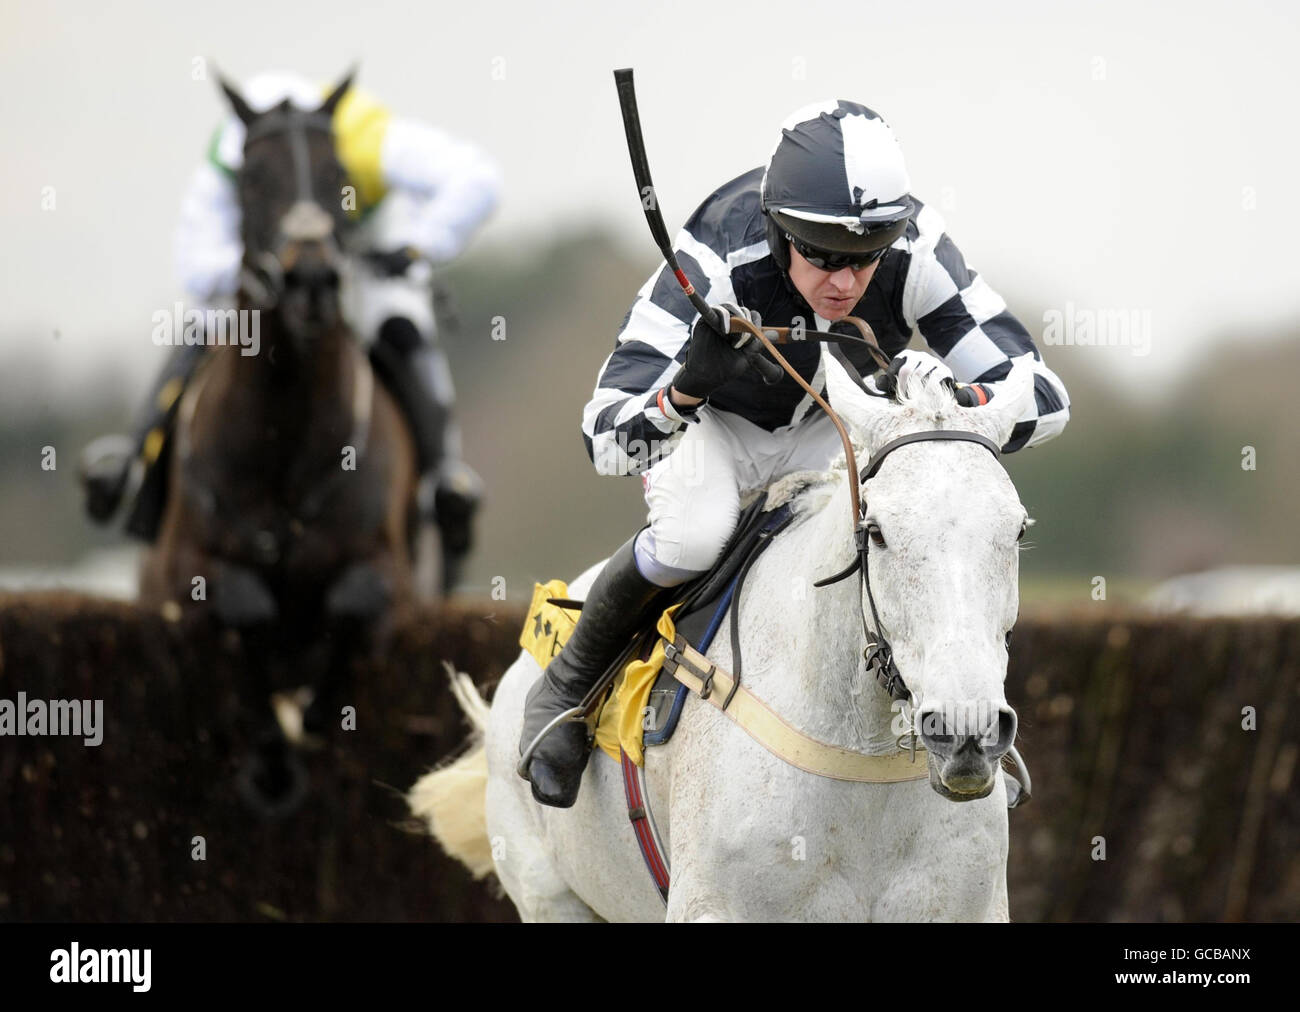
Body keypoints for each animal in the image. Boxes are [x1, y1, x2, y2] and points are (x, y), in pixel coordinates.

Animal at [141, 72, 416, 811]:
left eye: (339, 176)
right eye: (252, 179)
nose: (311, 280)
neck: (283, 439)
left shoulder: (393, 574)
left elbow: (353, 601)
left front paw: (317, 711)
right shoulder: (181, 574)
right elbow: (246, 608)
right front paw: (270, 752)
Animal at [410, 348, 1040, 920]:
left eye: (1016, 531)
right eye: (878, 531)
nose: (967, 730)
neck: (861, 760)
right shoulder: (713, 905)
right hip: (548, 891)